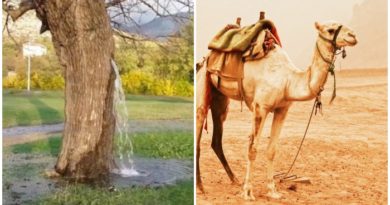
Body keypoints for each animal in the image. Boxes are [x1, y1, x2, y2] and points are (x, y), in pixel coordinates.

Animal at [197, 21, 358, 200]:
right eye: (330, 30)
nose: (353, 36)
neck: (288, 80)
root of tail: (205, 59)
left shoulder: (282, 110)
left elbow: (272, 150)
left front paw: (272, 190)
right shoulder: (260, 107)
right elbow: (252, 148)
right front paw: (248, 192)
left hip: (220, 99)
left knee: (217, 139)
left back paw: (235, 179)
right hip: (203, 81)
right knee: (199, 128)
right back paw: (201, 187)